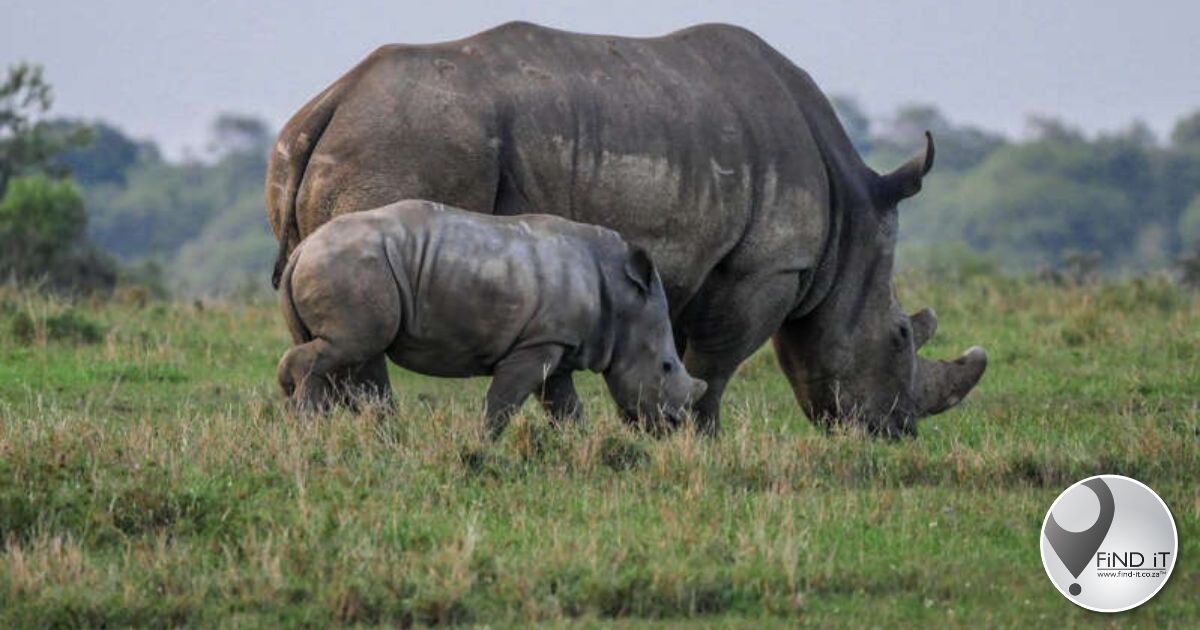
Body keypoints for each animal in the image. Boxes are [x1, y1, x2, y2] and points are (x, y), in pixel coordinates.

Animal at [276, 199, 707, 437]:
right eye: (666, 366)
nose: (673, 426)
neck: (621, 298)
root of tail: (302, 249)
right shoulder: (537, 344)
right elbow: (503, 401)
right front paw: (480, 446)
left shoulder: (556, 343)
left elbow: (566, 408)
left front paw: (585, 448)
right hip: (351, 265)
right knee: (353, 346)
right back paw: (311, 427)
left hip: (345, 265)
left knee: (352, 355)